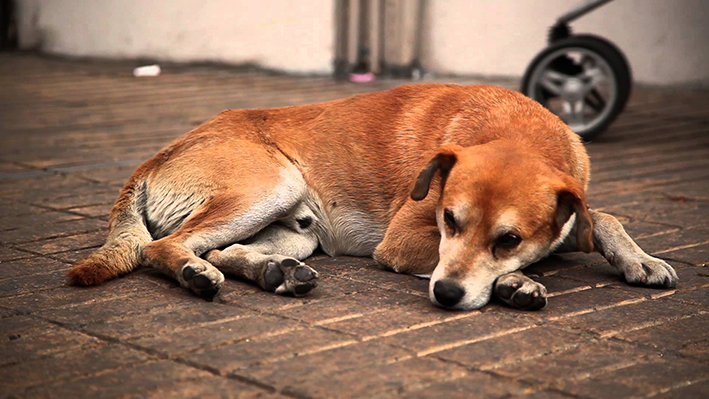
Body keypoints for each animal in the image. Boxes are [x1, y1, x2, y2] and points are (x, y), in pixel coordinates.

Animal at [66, 83, 676, 310]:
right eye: (449, 220)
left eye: (508, 237)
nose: (446, 296)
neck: (515, 132)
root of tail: (156, 155)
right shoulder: (403, 241)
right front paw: (516, 282)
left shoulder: (571, 217)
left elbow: (605, 219)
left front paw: (641, 260)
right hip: (272, 184)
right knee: (162, 247)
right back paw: (195, 274)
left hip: (293, 228)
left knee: (223, 249)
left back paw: (274, 273)